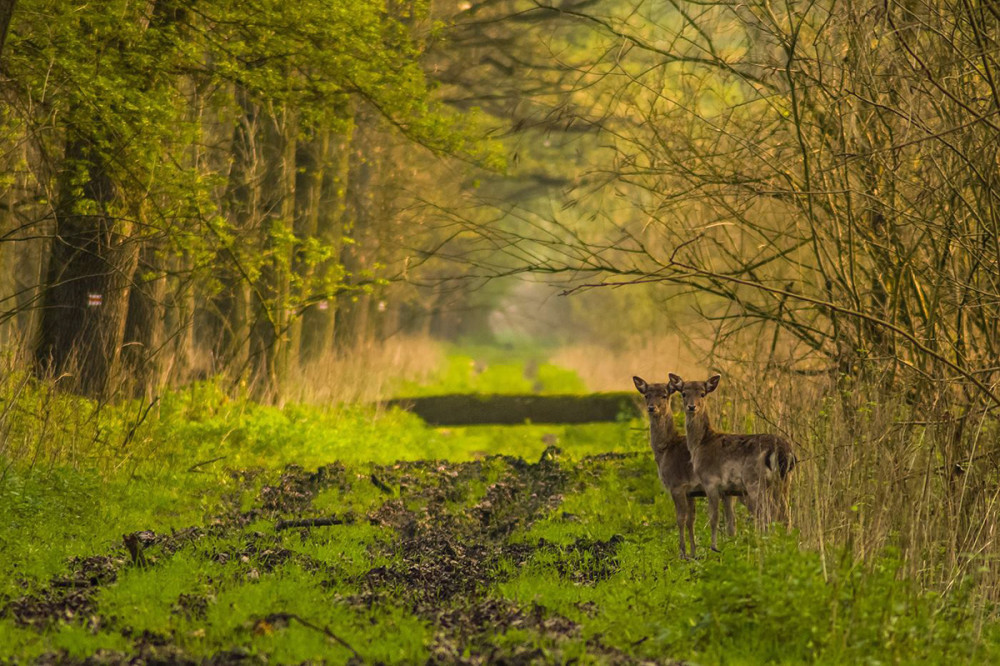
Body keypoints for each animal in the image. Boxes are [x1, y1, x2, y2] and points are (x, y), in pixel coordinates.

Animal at [632, 376, 736, 556]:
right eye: (646, 395)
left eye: (664, 395)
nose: (652, 408)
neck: (665, 449)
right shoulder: (691, 491)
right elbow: (690, 520)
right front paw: (694, 553)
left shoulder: (676, 485)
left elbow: (680, 519)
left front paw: (682, 554)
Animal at [664, 374, 796, 548]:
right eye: (684, 393)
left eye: (702, 393)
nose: (692, 407)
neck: (700, 444)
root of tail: (782, 450)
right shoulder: (728, 491)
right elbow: (730, 522)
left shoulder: (710, 481)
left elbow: (713, 517)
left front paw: (714, 547)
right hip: (784, 481)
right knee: (785, 512)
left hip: (754, 480)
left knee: (768, 512)